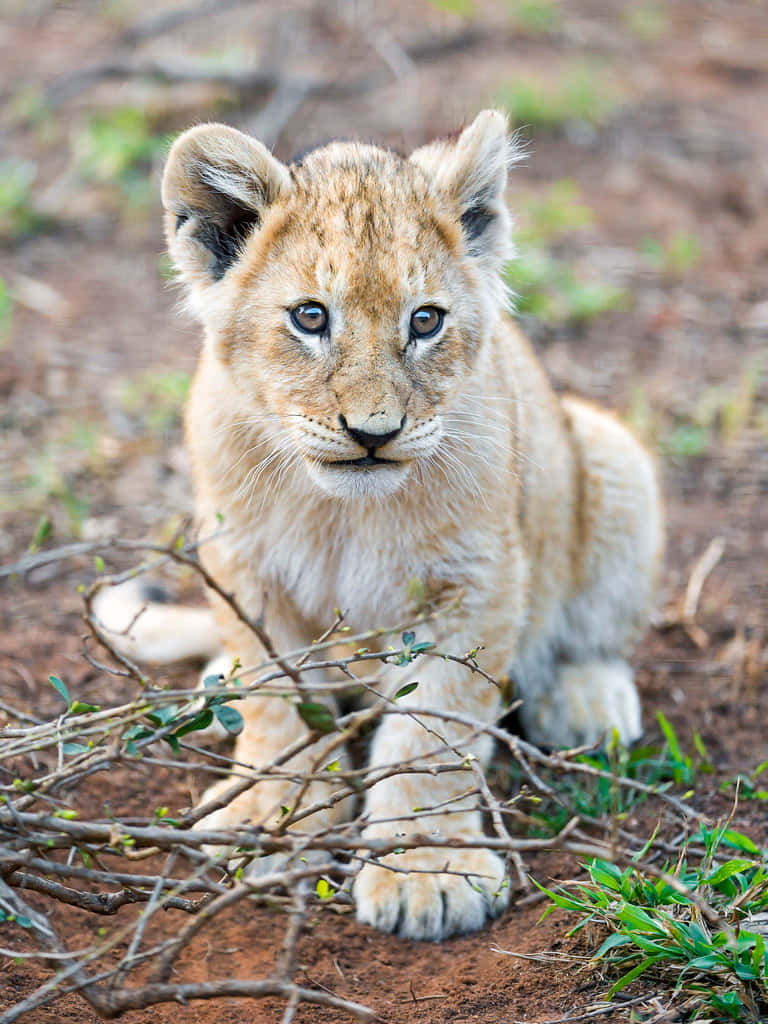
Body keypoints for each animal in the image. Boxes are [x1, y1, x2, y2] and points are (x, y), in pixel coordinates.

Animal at [95, 111, 662, 940]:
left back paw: (587, 701)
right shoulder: (242, 562)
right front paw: (273, 817)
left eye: (425, 320)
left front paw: (426, 872)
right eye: (310, 317)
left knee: (592, 635)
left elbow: (434, 730)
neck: (342, 509)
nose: (373, 433)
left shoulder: (478, 582)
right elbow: (274, 700)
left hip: (612, 454)